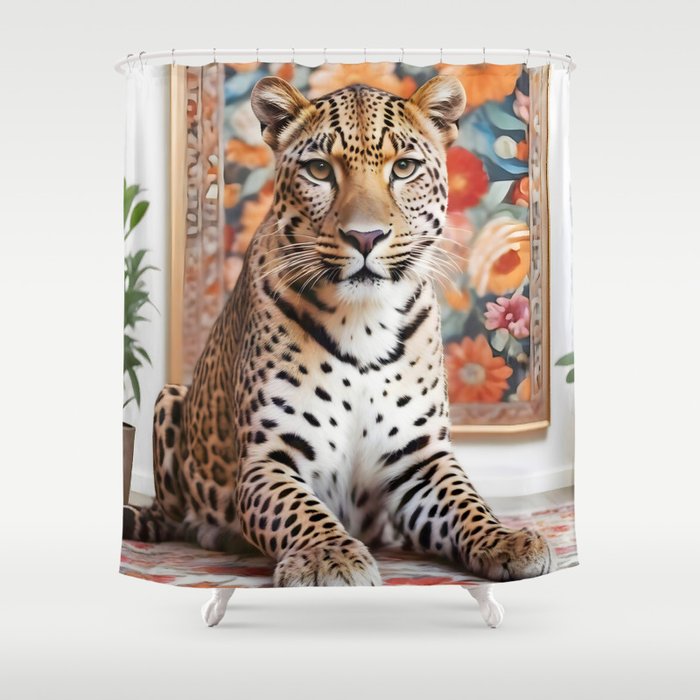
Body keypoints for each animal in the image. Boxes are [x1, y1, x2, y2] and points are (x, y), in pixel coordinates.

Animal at [123, 73, 555, 586]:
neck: (364, 321)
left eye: (404, 168)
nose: (365, 237)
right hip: (169, 399)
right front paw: (328, 556)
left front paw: (506, 539)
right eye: (319, 170)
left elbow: (467, 502)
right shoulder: (268, 458)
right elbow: (300, 511)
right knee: (176, 516)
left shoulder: (420, 458)